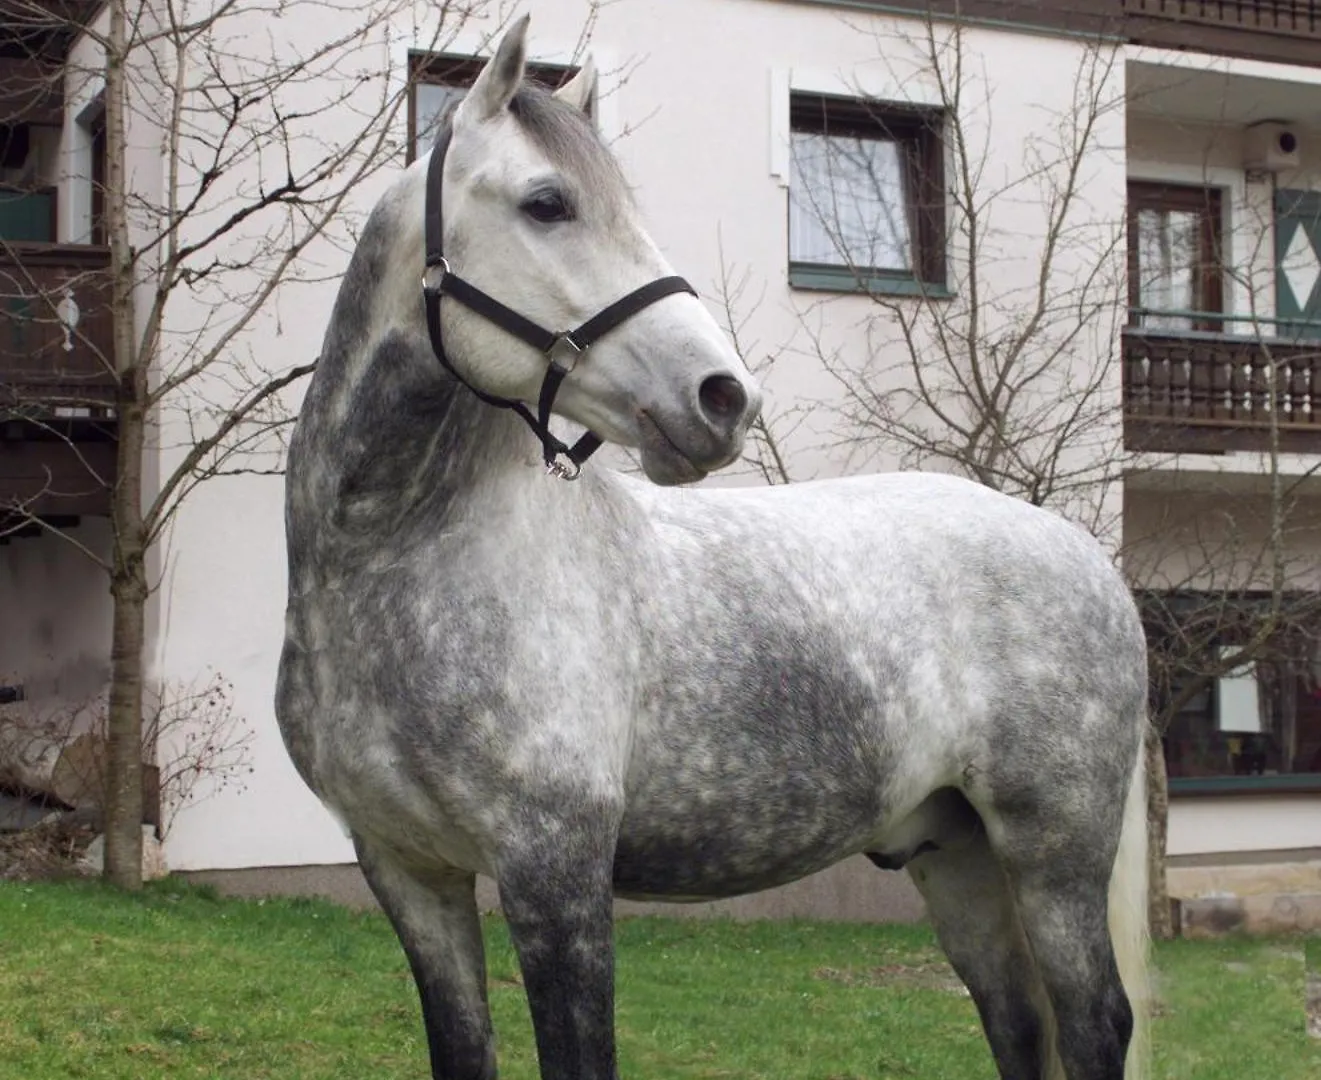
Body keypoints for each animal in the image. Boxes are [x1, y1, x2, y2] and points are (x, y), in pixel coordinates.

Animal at [278, 16, 1146, 1077]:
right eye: (546, 203)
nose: (724, 398)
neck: (402, 574)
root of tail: (1079, 551)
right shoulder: (411, 875)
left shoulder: (553, 874)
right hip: (956, 855)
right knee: (1016, 1019)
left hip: (1052, 854)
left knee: (1092, 1021)